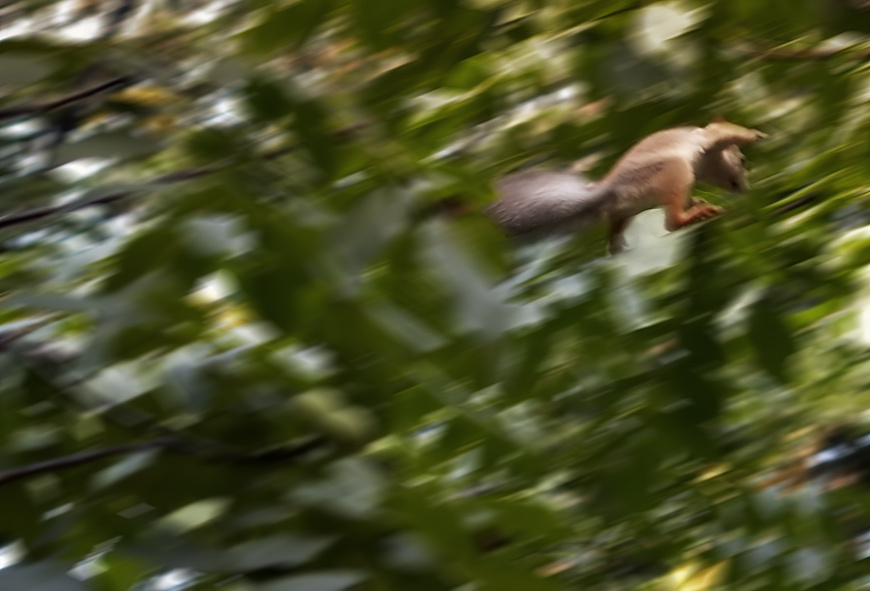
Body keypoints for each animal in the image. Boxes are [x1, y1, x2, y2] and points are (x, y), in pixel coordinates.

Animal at [484, 120, 766, 254]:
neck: (707, 164)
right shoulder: (709, 138)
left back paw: (616, 247)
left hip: (627, 209)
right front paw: (756, 135)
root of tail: (607, 191)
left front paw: (697, 200)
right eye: (742, 161)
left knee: (619, 226)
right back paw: (695, 215)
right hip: (674, 172)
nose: (744, 189)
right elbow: (726, 131)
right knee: (671, 222)